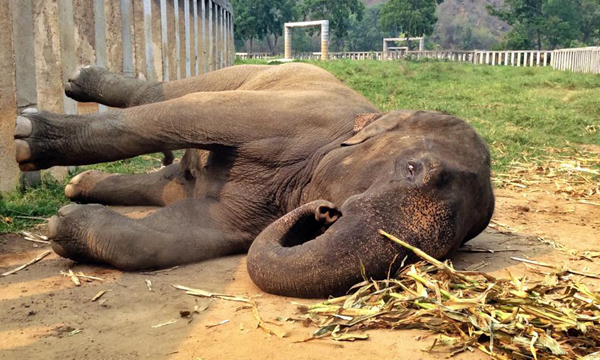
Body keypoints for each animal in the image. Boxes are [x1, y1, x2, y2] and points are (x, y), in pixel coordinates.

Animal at [12, 62, 492, 298]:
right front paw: (27, 137)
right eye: (413, 169)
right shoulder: (292, 116)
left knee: (167, 183)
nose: (324, 211)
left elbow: (191, 233)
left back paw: (78, 187)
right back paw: (70, 90)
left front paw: (63, 224)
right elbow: (193, 112)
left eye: (451, 248)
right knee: (167, 96)